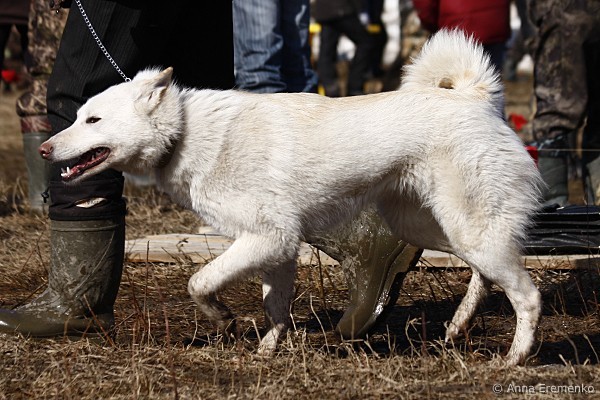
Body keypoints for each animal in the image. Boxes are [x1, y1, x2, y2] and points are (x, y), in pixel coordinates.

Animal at [39, 30, 542, 365]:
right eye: (78, 116)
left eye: (93, 120)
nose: (44, 149)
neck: (185, 133)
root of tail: (475, 99)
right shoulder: (278, 247)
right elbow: (275, 305)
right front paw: (268, 348)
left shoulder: (268, 237)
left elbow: (199, 282)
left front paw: (223, 319)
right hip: (432, 226)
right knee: (482, 273)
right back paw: (458, 326)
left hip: (467, 228)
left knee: (527, 294)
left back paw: (514, 359)